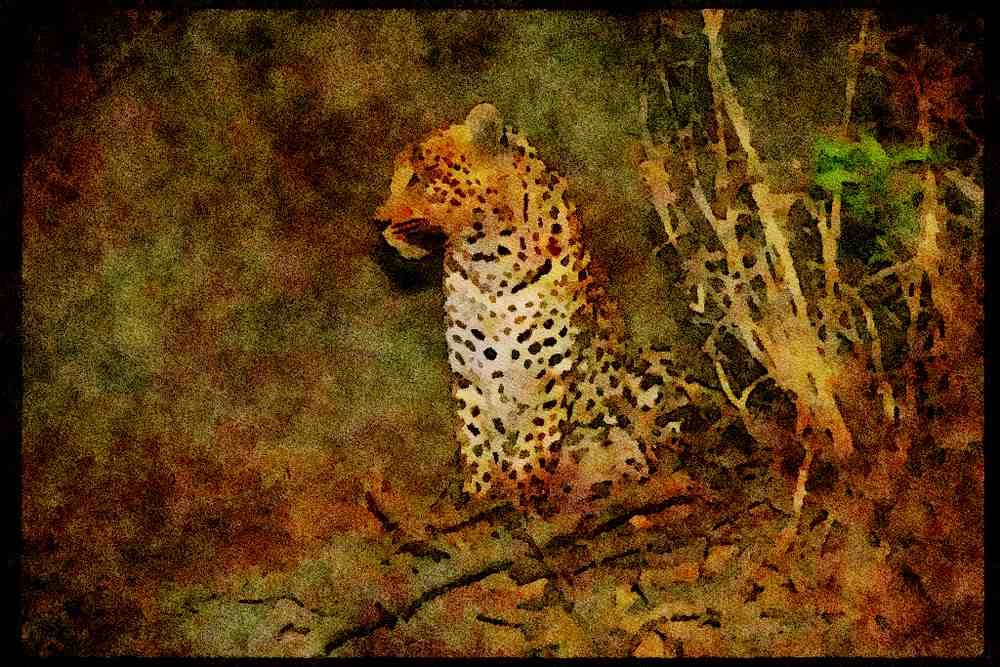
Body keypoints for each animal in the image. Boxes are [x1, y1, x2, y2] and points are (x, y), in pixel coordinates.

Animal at [376, 103, 698, 512]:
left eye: (420, 176)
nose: (379, 221)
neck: (487, 268)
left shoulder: (551, 373)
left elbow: (534, 439)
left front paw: (521, 494)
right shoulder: (469, 376)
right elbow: (475, 439)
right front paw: (480, 498)